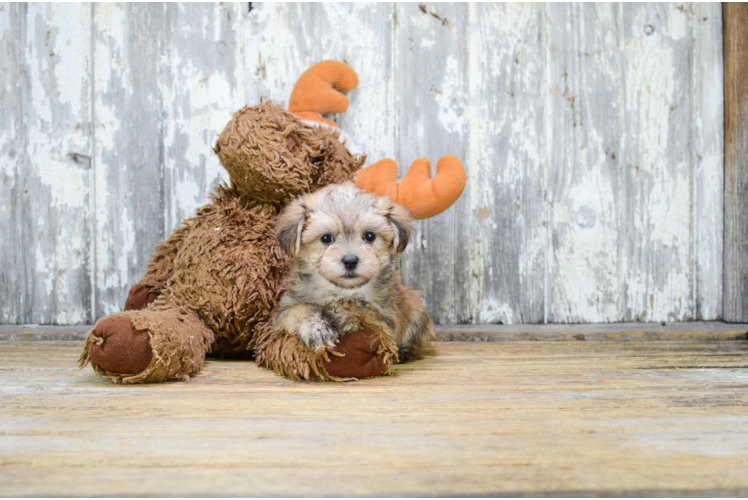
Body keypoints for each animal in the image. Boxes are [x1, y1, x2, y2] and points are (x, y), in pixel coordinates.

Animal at [274, 182, 436, 362]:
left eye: (369, 236)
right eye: (326, 238)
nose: (350, 261)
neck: (340, 289)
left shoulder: (386, 320)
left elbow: (363, 307)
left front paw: (337, 312)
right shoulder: (284, 310)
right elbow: (297, 310)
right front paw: (315, 327)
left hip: (414, 306)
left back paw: (404, 352)